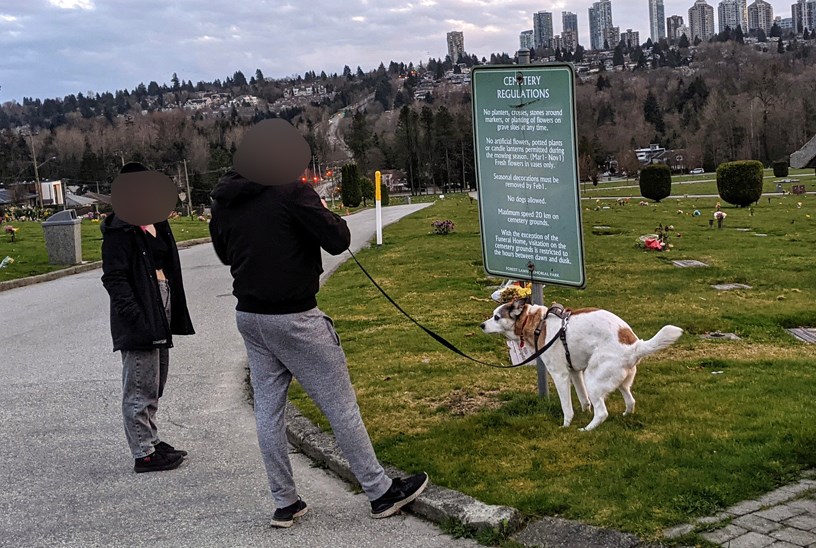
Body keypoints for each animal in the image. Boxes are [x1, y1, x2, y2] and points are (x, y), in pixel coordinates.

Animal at [478, 300, 684, 432]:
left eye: (496, 317)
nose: (481, 325)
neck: (538, 324)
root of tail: (635, 346)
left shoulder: (560, 375)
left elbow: (567, 407)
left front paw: (566, 425)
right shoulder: (575, 372)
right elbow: (584, 400)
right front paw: (585, 412)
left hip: (592, 379)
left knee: (602, 412)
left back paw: (586, 429)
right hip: (619, 381)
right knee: (630, 401)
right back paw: (624, 415)